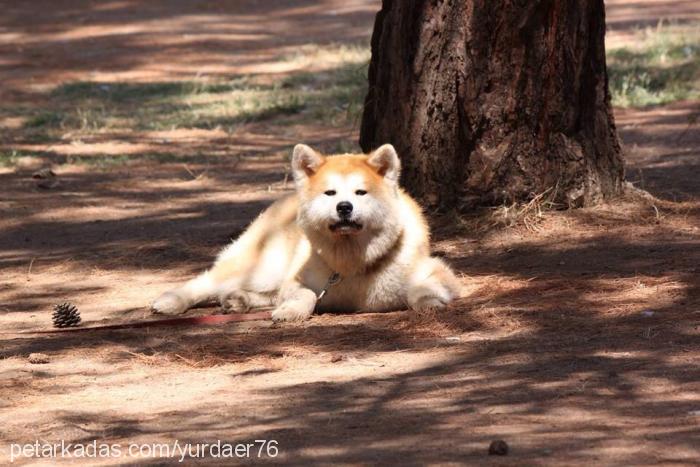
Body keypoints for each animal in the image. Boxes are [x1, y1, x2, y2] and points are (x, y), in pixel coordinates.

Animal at [152, 144, 460, 324]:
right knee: (206, 282)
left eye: (360, 192)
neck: (353, 264)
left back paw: (239, 300)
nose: (344, 207)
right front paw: (291, 312)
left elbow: (421, 289)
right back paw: (171, 302)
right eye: (330, 193)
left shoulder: (441, 273)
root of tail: (282, 202)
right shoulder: (297, 281)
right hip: (264, 268)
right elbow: (307, 295)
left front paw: (430, 302)